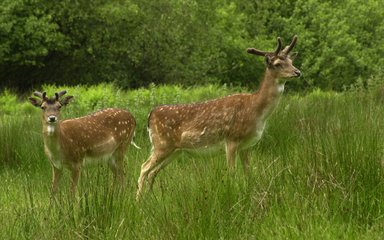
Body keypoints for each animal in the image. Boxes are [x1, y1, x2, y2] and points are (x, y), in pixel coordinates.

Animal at [136, 36, 302, 201]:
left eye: (291, 61)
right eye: (278, 64)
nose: (297, 72)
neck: (255, 111)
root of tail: (150, 115)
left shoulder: (247, 146)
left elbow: (248, 173)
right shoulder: (231, 139)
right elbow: (232, 173)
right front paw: (232, 195)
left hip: (174, 150)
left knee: (152, 172)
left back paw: (151, 199)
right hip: (161, 144)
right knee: (144, 167)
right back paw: (138, 201)